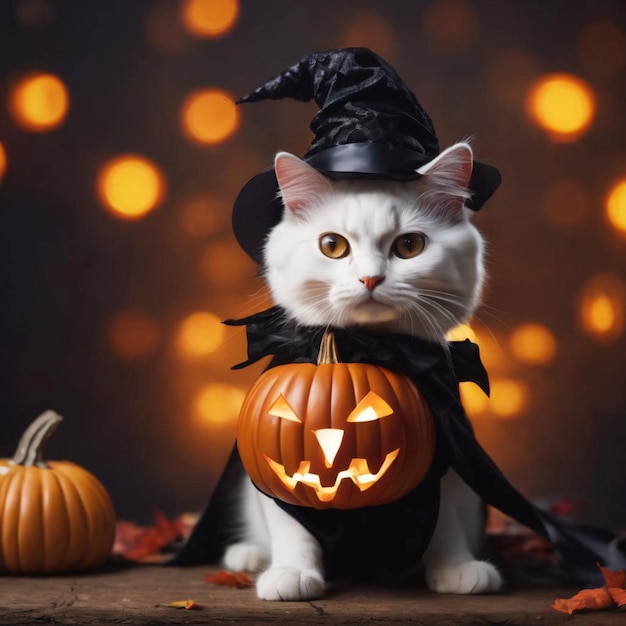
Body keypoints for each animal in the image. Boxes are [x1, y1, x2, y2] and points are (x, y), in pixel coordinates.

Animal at [224, 141, 502, 600]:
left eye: (409, 245)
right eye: (332, 246)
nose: (370, 279)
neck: (363, 349)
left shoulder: (447, 463)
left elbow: (444, 524)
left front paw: (456, 568)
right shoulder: (267, 470)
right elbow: (290, 526)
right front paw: (292, 573)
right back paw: (247, 555)